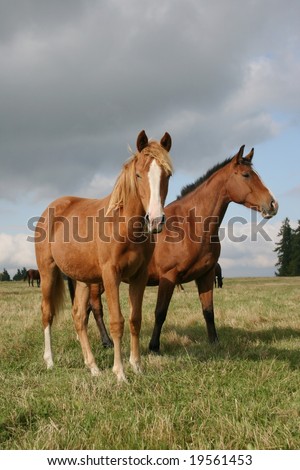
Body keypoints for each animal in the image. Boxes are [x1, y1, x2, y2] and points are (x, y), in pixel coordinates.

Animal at [34, 129, 173, 382]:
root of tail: (50, 209)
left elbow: (135, 320)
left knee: (79, 316)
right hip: (47, 272)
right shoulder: (110, 276)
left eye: (167, 175)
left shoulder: (138, 277)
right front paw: (120, 373)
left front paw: (137, 366)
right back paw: (49, 361)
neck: (123, 226)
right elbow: (117, 322)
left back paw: (93, 367)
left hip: (82, 279)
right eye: (138, 175)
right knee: (47, 313)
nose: (156, 220)